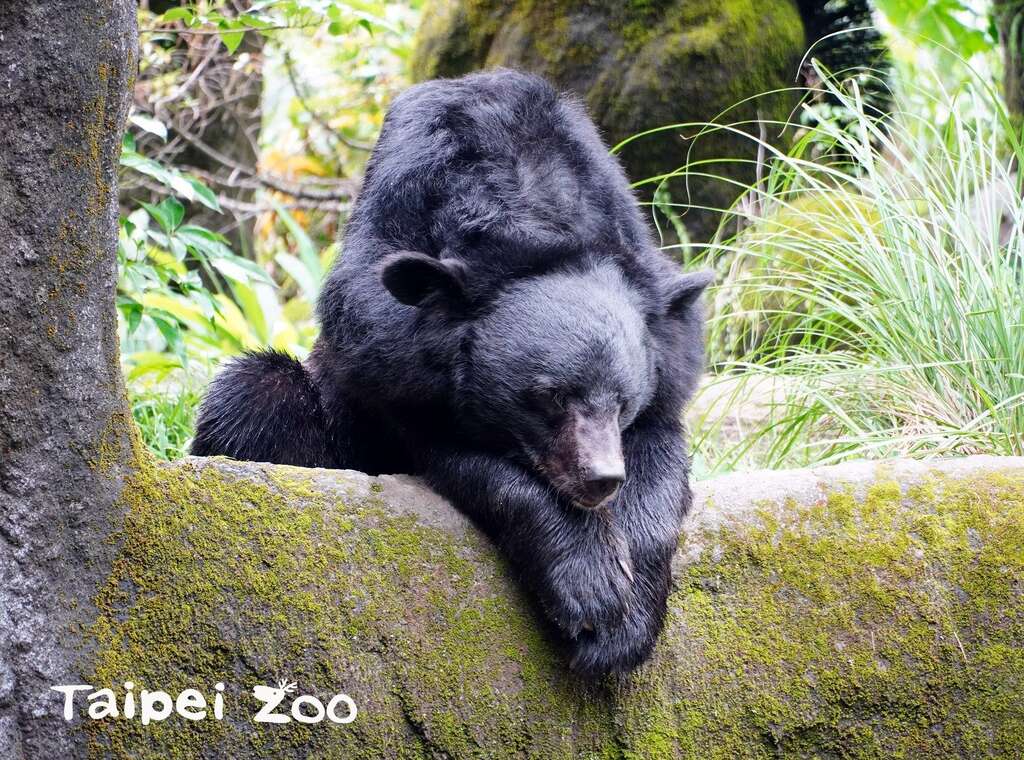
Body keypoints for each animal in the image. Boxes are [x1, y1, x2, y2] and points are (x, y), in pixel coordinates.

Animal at [192, 69, 712, 675]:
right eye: (549, 397)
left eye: (623, 403)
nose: (601, 478)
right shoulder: (390, 355)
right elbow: (467, 459)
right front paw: (593, 590)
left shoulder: (662, 340)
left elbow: (661, 459)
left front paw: (626, 618)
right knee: (254, 394)